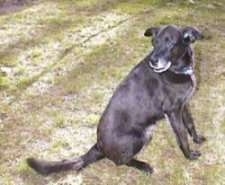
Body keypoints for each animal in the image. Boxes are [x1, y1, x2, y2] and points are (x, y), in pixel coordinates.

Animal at [26, 24, 206, 175]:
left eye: (171, 43)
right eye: (154, 43)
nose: (153, 61)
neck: (177, 70)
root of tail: (99, 145)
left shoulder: (184, 105)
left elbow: (190, 124)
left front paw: (197, 139)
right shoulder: (173, 111)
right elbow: (182, 136)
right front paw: (189, 155)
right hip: (139, 136)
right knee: (121, 162)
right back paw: (143, 165)